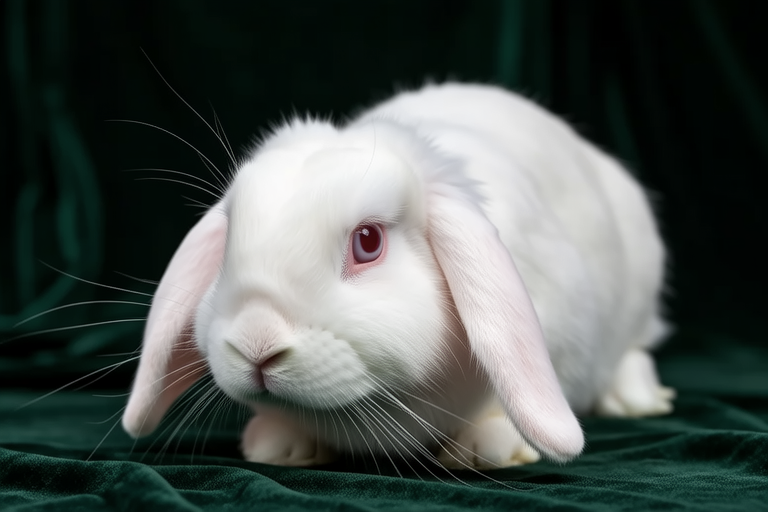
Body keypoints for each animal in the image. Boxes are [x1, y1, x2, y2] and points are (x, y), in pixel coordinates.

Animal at [121, 82, 675, 470]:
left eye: (368, 242)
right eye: (228, 241)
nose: (256, 344)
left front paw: (484, 450)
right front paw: (280, 446)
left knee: (634, 347)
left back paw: (636, 401)